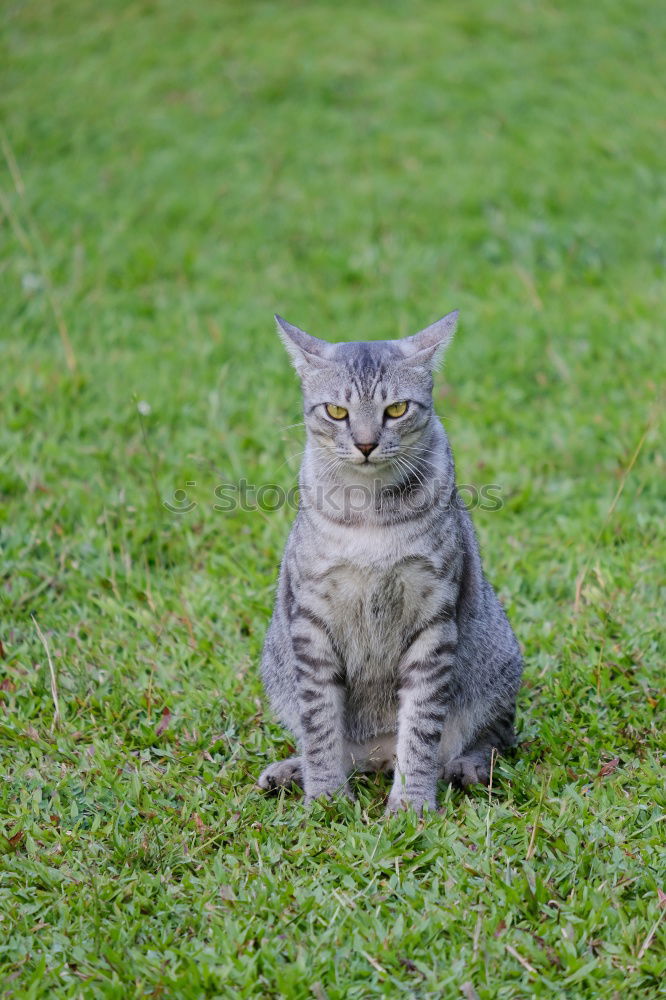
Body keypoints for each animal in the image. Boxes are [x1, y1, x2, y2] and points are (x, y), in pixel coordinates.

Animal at [256, 312, 520, 812]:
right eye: (336, 412)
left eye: (396, 409)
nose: (365, 444)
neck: (370, 511)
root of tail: (377, 756)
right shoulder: (311, 620)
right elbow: (320, 725)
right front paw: (326, 797)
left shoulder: (434, 617)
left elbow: (419, 728)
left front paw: (412, 805)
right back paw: (292, 771)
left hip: (498, 660)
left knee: (494, 735)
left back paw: (466, 766)